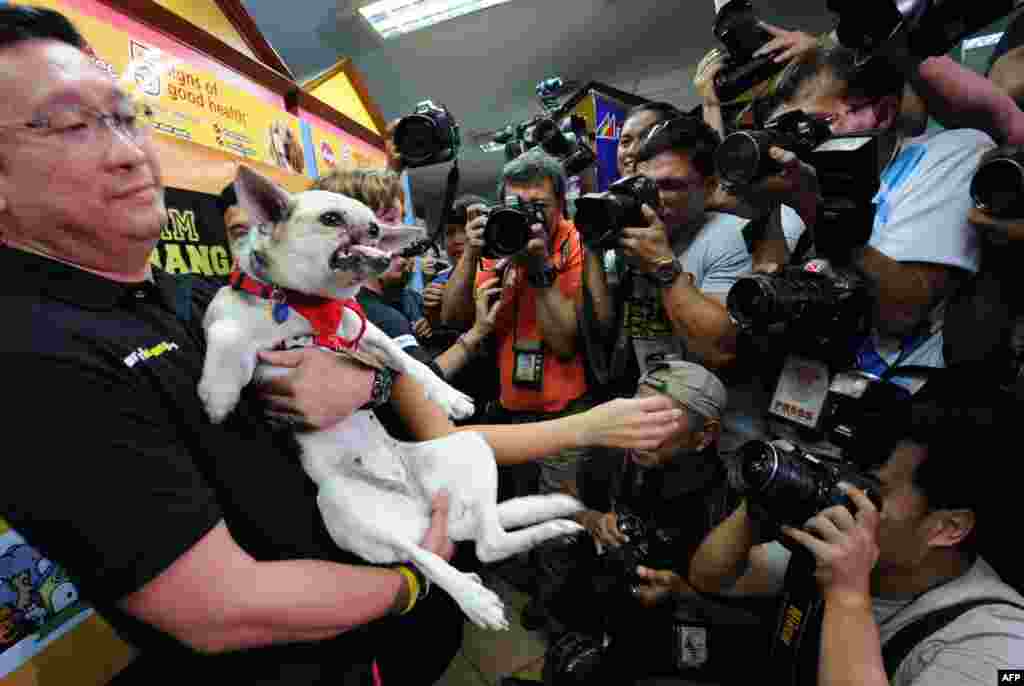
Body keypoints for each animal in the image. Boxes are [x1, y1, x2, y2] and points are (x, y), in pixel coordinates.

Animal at [197, 167, 585, 634]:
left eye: (375, 225)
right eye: (331, 218)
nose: (375, 231)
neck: (303, 306)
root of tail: (424, 509)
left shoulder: (364, 333)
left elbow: (408, 361)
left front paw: (449, 396)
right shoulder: (227, 322)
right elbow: (228, 334)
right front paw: (218, 392)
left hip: (470, 447)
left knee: (484, 540)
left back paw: (551, 525)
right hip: (339, 503)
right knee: (434, 555)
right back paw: (474, 596)